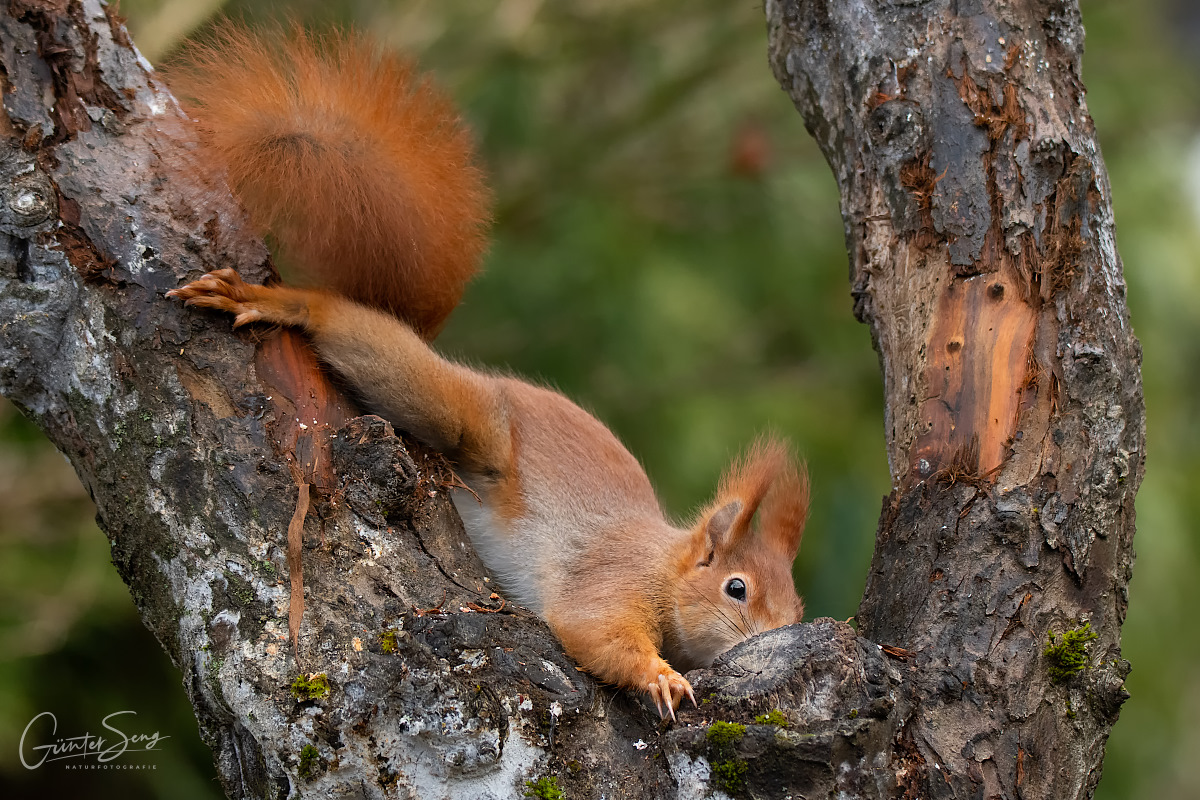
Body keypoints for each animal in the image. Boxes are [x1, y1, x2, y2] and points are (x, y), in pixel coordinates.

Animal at [166, 26, 806, 719]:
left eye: (798, 606)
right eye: (736, 588)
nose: (776, 637)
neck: (663, 561)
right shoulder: (609, 578)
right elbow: (596, 631)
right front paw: (659, 675)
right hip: (470, 418)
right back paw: (292, 304)